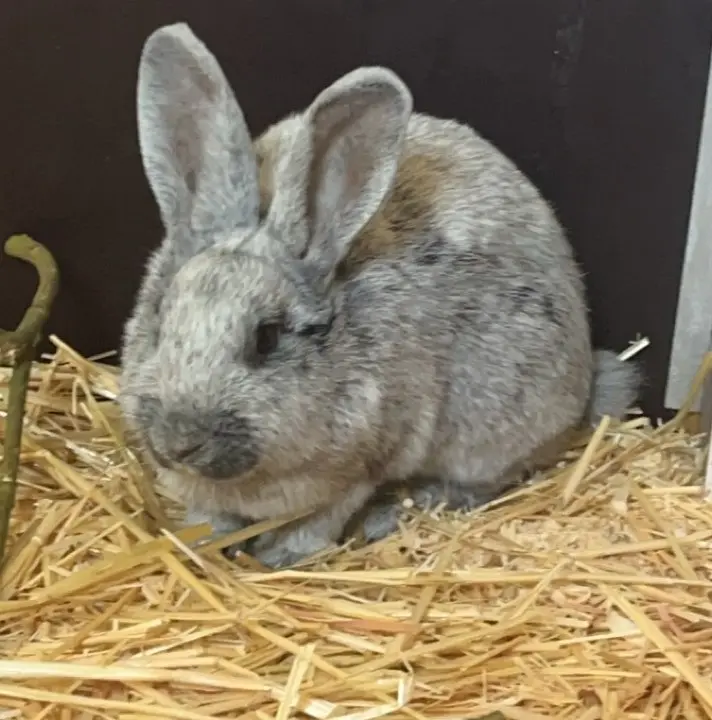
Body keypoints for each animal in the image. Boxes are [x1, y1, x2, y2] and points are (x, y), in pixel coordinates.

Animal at [117, 22, 640, 572]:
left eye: (267, 338)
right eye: (159, 319)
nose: (178, 442)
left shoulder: (357, 470)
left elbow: (320, 522)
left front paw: (281, 555)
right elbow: (209, 516)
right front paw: (203, 544)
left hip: (492, 432)